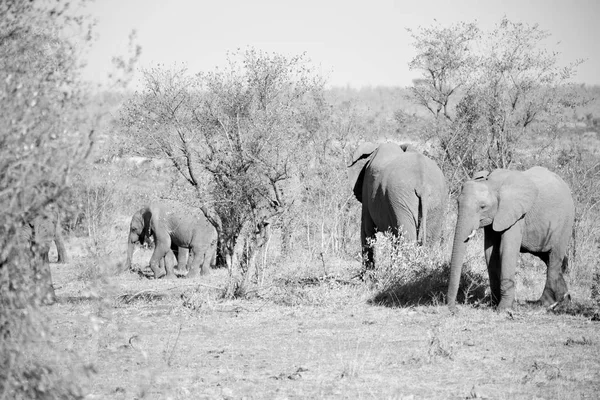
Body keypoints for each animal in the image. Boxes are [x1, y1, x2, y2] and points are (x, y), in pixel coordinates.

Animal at [448, 166, 576, 310]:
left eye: (482, 207)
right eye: (457, 203)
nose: (453, 309)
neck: (493, 183)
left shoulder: (517, 214)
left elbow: (506, 250)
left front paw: (502, 309)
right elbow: (490, 253)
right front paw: (493, 305)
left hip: (565, 224)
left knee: (554, 259)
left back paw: (543, 304)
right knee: (548, 259)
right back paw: (564, 301)